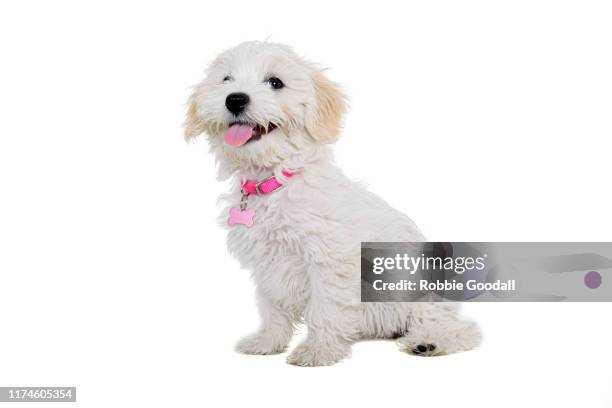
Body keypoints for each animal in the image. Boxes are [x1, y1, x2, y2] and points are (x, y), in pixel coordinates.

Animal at [184, 41, 480, 366]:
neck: (275, 180)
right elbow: (273, 308)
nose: (235, 99)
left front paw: (319, 350)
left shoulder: (329, 261)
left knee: (459, 327)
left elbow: (325, 309)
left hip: (418, 291)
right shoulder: (268, 265)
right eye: (226, 79)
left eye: (275, 82)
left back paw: (429, 342)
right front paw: (267, 342)